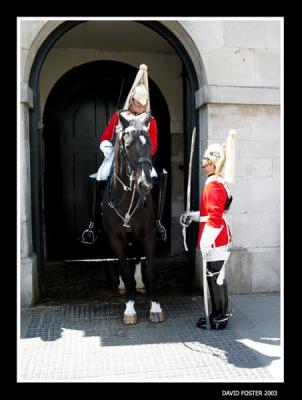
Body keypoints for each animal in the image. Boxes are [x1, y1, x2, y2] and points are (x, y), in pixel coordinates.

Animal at [102, 111, 166, 324]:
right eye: (128, 145)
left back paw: (139, 283)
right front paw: (129, 309)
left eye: (149, 145)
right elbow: (124, 270)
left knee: (137, 257)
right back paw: (123, 286)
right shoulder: (116, 238)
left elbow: (150, 270)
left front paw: (155, 307)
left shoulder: (147, 235)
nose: (144, 184)